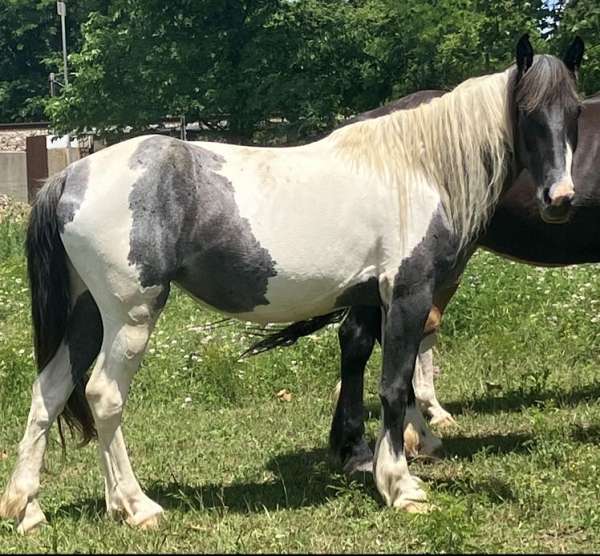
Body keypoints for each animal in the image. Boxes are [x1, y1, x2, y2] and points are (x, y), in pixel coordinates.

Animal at [0, 37, 580, 532]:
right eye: (529, 113)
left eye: (574, 113)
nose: (561, 200)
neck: (415, 170)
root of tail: (70, 176)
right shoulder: (408, 294)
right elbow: (394, 386)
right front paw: (401, 486)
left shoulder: (373, 300)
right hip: (130, 316)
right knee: (103, 395)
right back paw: (136, 505)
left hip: (87, 314)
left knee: (49, 391)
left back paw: (29, 509)